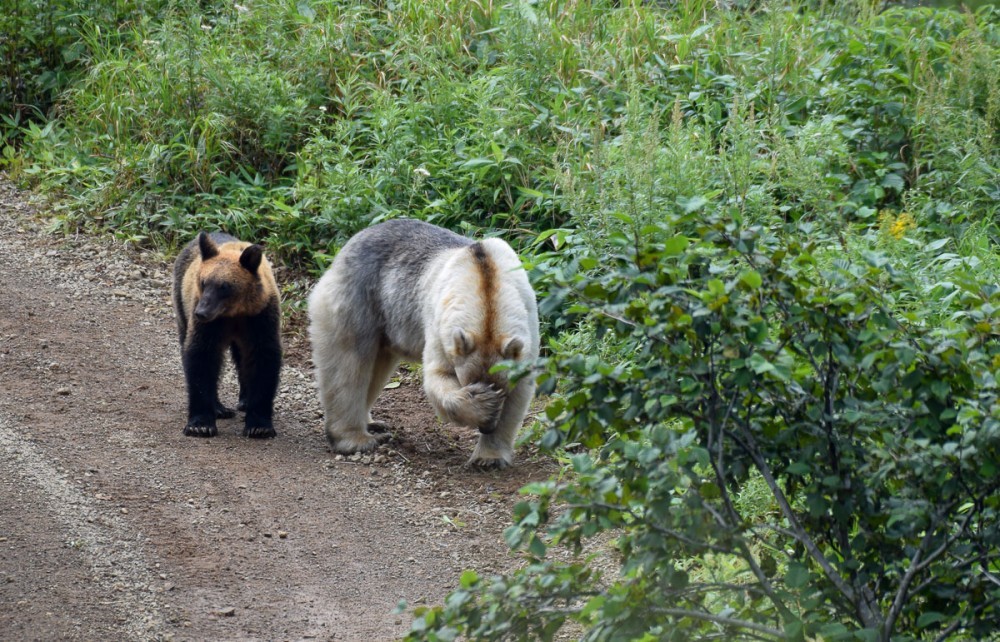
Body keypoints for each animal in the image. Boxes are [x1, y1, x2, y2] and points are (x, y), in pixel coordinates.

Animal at [306, 218, 540, 468]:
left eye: (503, 389)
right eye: (467, 381)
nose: (486, 428)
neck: (484, 274)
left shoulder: (527, 324)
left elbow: (520, 393)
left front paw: (489, 458)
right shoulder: (440, 324)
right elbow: (437, 376)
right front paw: (481, 405)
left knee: (376, 366)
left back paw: (372, 423)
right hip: (358, 298)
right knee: (348, 363)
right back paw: (357, 439)